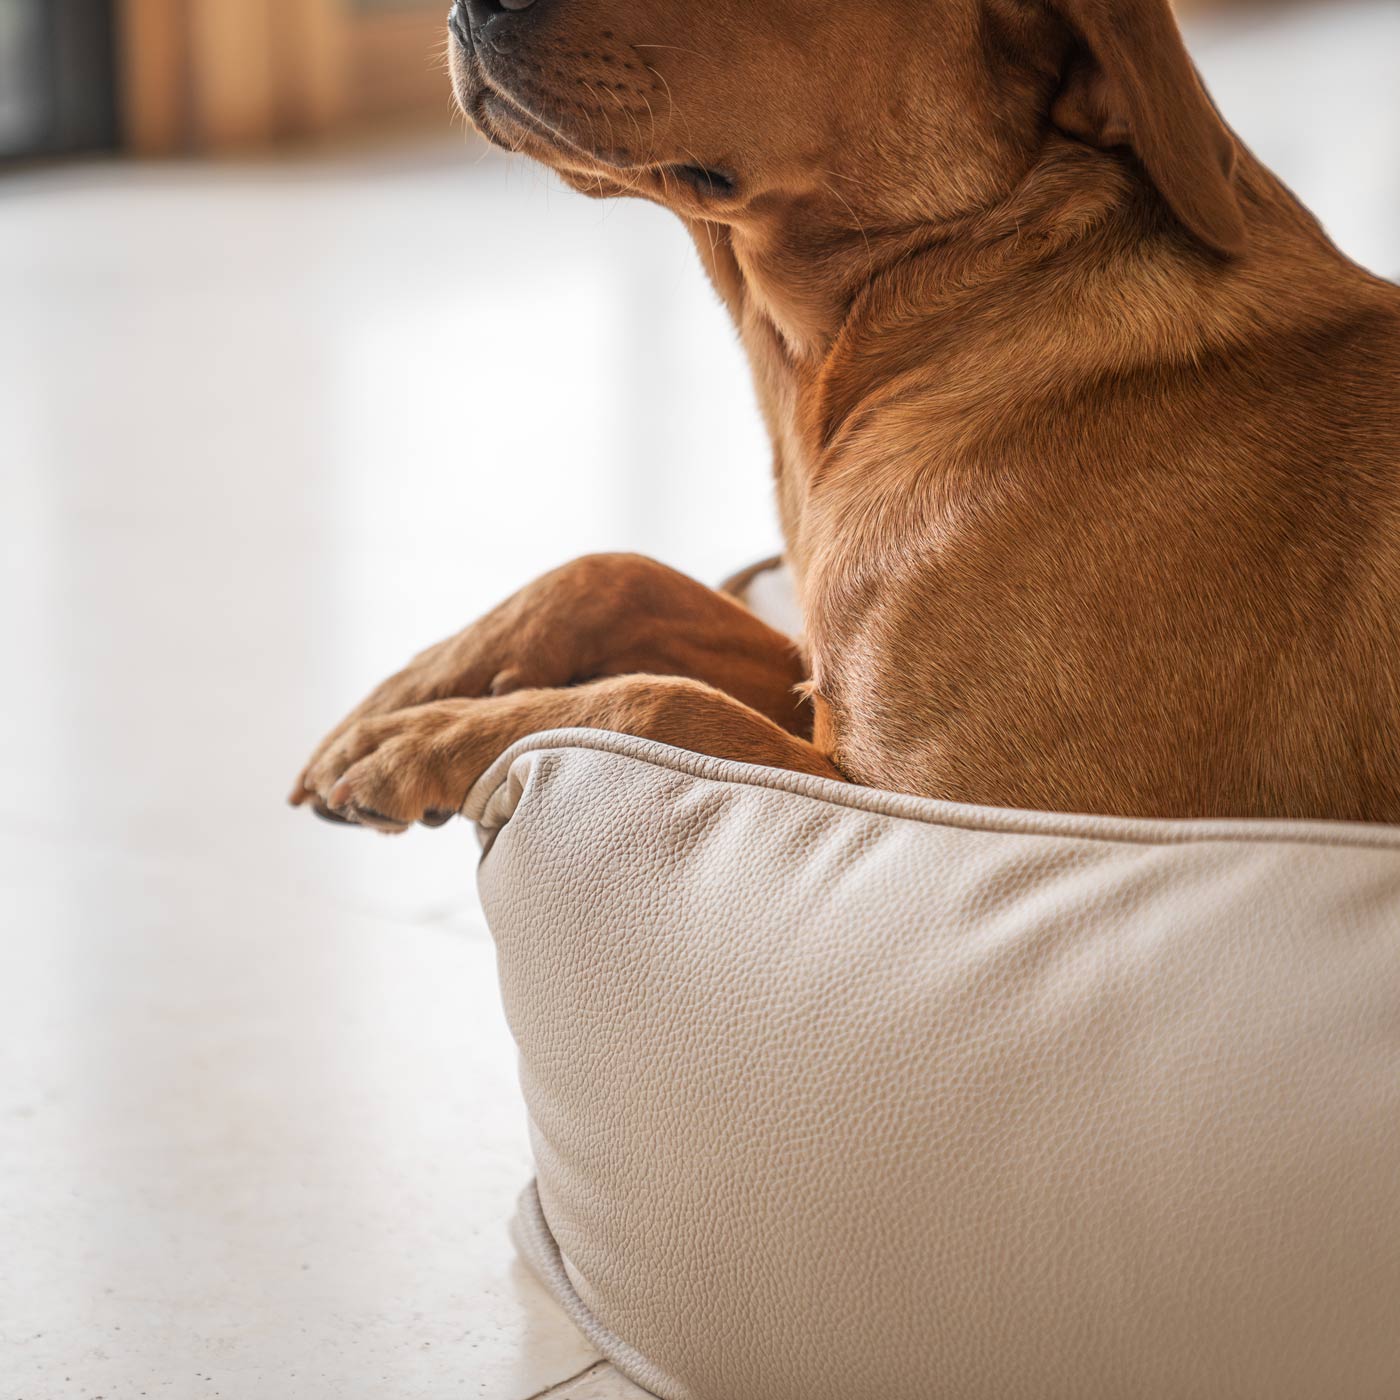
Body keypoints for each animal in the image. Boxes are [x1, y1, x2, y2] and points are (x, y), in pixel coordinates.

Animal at [289, 0, 1394, 823]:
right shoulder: (818, 672)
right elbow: (616, 571)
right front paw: (418, 686)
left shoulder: (962, 802)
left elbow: (651, 702)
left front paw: (436, 736)